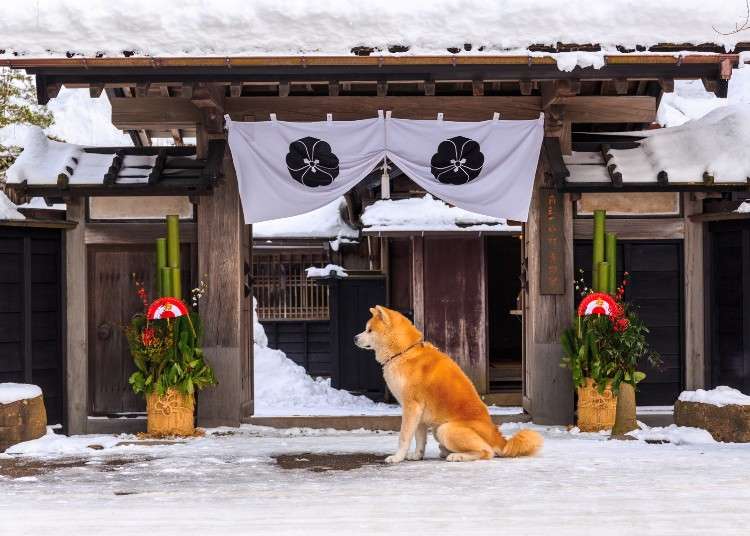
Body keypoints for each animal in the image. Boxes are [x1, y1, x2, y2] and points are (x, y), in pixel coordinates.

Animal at [356, 304, 544, 462]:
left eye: (369, 330)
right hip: (438, 430)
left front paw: (397, 458)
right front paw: (417, 456)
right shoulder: (419, 413)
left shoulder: (411, 407)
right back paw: (447, 452)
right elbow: (419, 438)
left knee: (487, 452)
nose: (354, 338)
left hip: (445, 429)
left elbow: (404, 437)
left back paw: (457, 456)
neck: (404, 352)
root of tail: (499, 438)